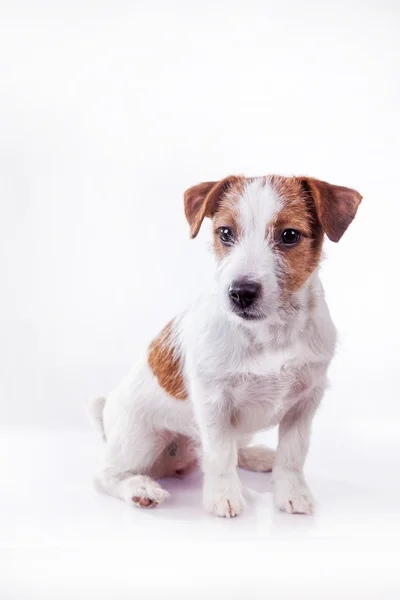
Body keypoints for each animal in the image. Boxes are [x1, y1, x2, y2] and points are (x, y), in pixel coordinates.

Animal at [88, 173, 362, 516]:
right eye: (226, 233)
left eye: (289, 235)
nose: (241, 293)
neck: (270, 332)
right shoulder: (214, 402)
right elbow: (220, 454)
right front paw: (223, 497)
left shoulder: (305, 402)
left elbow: (293, 454)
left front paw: (292, 493)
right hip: (140, 439)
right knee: (107, 473)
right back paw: (140, 488)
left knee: (236, 447)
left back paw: (258, 456)